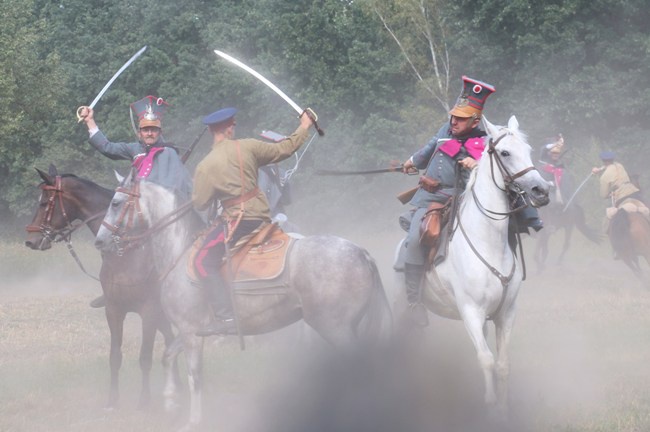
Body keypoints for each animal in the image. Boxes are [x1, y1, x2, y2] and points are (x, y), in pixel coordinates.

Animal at [24, 164, 180, 410]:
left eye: (44, 202)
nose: (31, 240)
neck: (127, 253)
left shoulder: (149, 310)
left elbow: (145, 357)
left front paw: (144, 401)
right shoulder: (114, 310)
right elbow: (115, 356)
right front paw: (112, 401)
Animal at [93, 170, 388, 430]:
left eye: (115, 202)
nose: (99, 240)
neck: (180, 250)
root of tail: (361, 253)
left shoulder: (189, 331)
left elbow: (195, 375)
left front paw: (193, 421)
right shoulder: (192, 330)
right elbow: (167, 357)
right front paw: (171, 402)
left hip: (335, 329)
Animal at [394, 116, 548, 416]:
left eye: (528, 149)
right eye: (505, 153)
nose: (541, 190)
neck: (488, 240)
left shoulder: (505, 314)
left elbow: (502, 363)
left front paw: (502, 410)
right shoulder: (471, 312)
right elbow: (486, 359)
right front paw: (488, 405)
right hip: (402, 307)